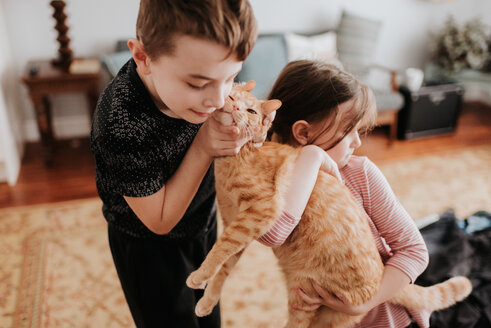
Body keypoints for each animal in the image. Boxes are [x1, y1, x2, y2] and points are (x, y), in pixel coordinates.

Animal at [186, 80, 474, 326]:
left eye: (251, 110)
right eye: (231, 98)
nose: (235, 108)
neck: (234, 158)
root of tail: (382, 276)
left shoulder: (260, 212)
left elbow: (219, 250)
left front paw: (199, 275)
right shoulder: (239, 226)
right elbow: (223, 268)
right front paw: (207, 298)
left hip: (304, 293)